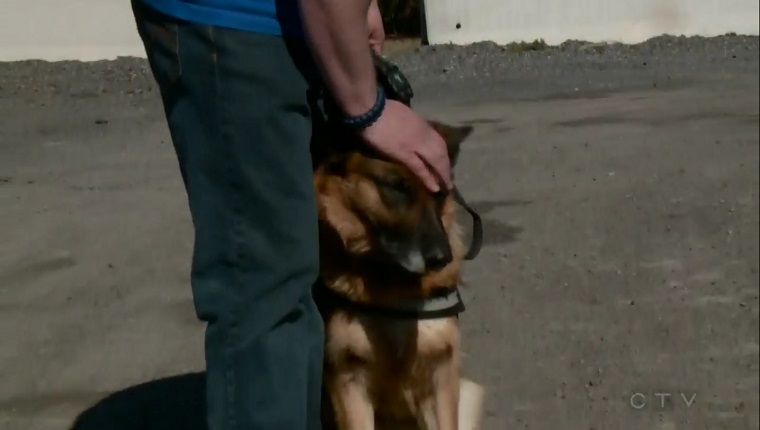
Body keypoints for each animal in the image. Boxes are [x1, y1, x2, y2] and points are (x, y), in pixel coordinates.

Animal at [310, 90, 478, 430]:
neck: (392, 282)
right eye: (396, 187)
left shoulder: (440, 377)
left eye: (439, 193)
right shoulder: (348, 383)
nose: (441, 259)